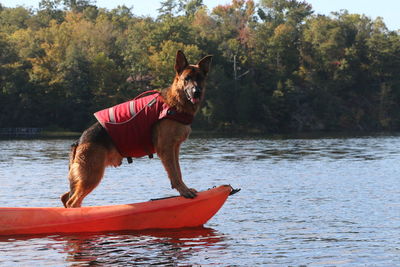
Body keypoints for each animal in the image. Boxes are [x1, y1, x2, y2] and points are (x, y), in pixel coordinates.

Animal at [61, 50, 211, 209]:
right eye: (187, 78)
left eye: (200, 78)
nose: (196, 92)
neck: (176, 103)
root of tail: (79, 140)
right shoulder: (166, 149)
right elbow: (174, 174)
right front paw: (184, 191)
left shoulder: (174, 148)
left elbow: (178, 172)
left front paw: (184, 189)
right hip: (92, 175)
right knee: (72, 202)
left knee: (65, 197)